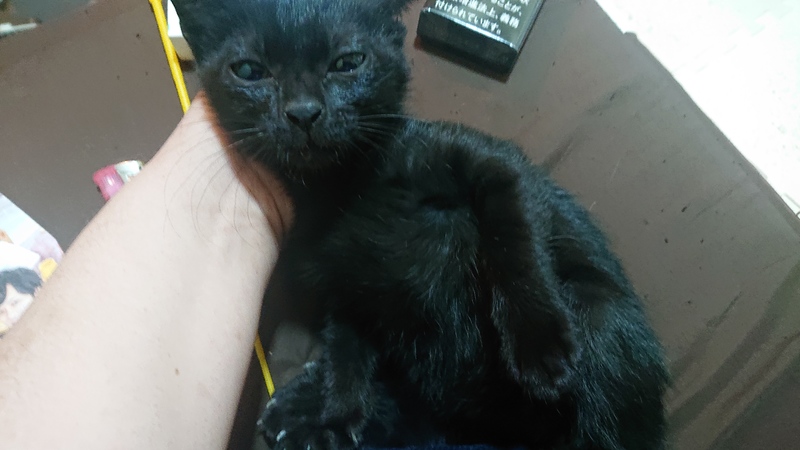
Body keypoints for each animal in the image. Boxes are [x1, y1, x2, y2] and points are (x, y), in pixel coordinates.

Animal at [173, 0, 669, 449]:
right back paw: (304, 410)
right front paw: (334, 412)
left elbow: (515, 236)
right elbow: (346, 350)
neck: (344, 188)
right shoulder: (346, 290)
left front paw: (539, 344)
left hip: (600, 319)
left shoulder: (495, 163)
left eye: (348, 62)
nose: (303, 111)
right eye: (249, 71)